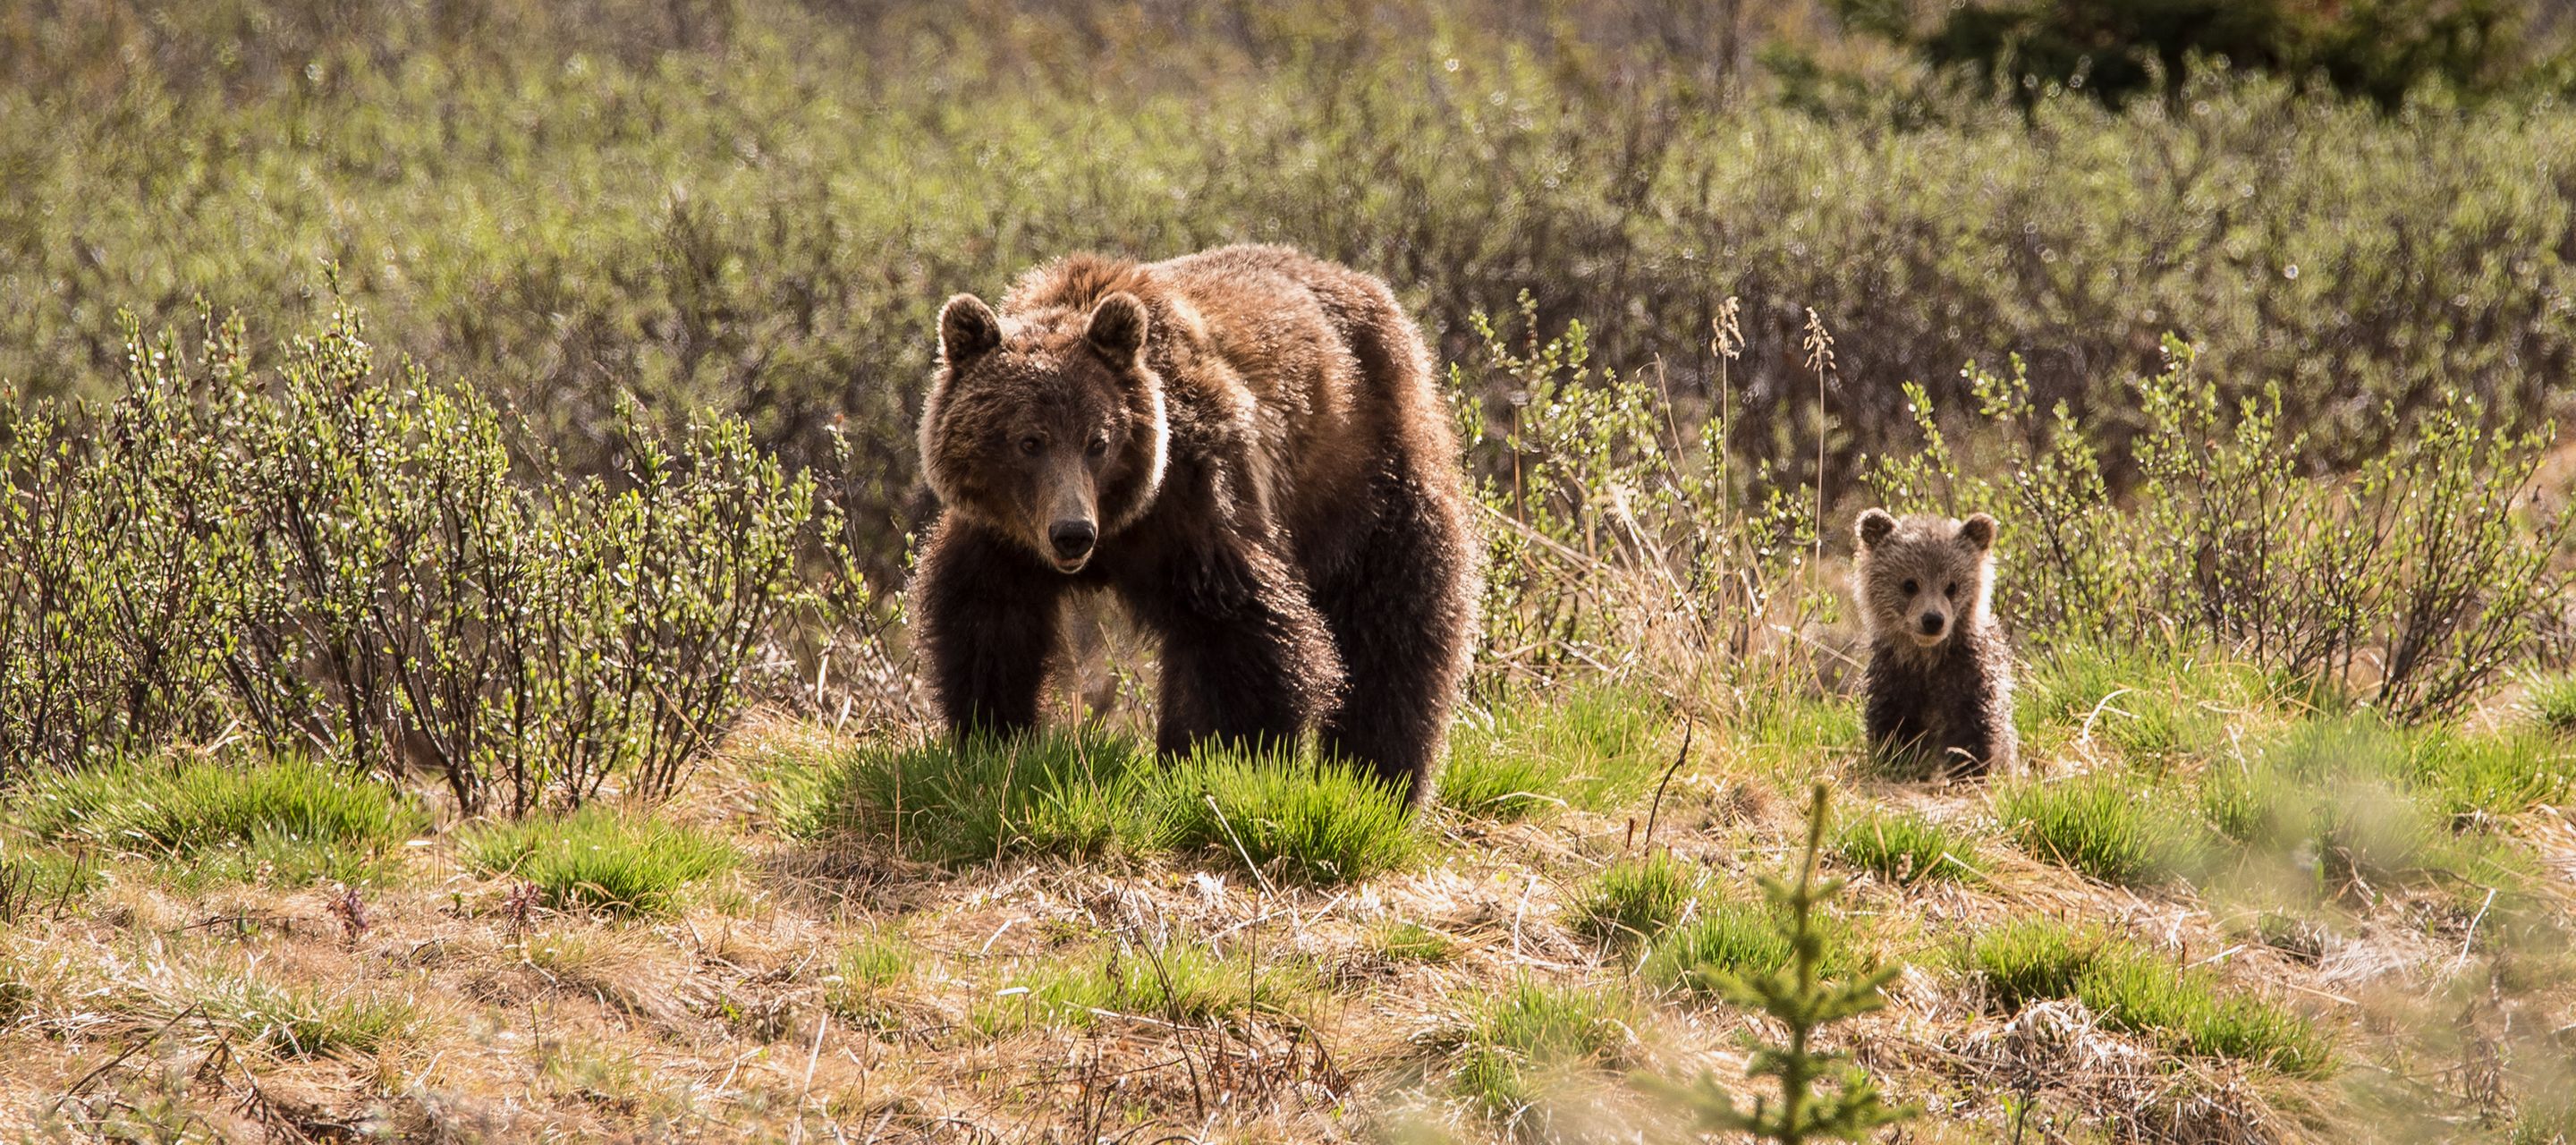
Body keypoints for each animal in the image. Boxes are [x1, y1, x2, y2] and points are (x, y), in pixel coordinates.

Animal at [910, 244, 1478, 804]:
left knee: (1393, 627)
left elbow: (1244, 638)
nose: (1073, 533)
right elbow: (987, 620)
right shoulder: (1005, 535)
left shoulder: (1193, 505)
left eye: (1098, 441)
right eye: (1029, 441)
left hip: (1364, 476)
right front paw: (993, 738)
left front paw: (1230, 761)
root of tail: (1374, 291)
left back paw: (1377, 776)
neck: (1121, 522)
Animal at [1853, 508, 2017, 778]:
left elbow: (1974, 734)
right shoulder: (1896, 680)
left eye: (1952, 586)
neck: (1927, 660)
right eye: (1910, 584)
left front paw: (1970, 769)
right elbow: (1894, 730)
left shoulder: (1969, 680)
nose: (1932, 620)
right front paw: (1896, 762)